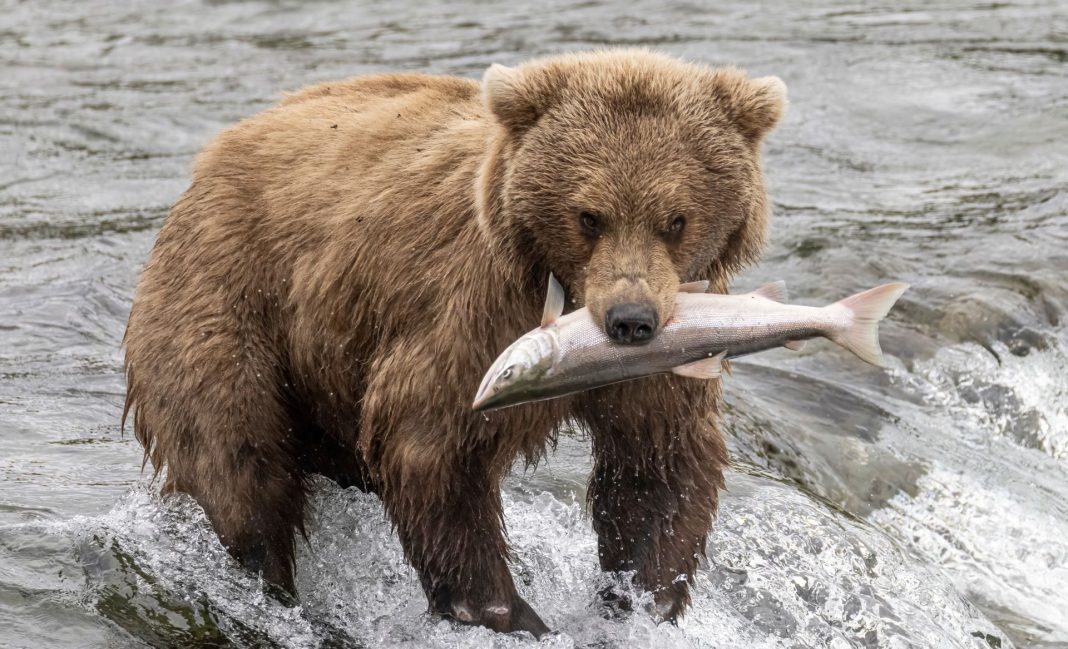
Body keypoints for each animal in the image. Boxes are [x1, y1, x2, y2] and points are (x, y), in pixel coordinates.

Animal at [122, 49, 786, 631]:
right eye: (588, 216)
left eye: (675, 219)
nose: (630, 320)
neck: (563, 289)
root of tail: (214, 154)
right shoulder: (473, 310)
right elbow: (430, 441)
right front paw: (507, 611)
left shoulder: (676, 342)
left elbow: (656, 461)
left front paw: (640, 598)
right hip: (229, 299)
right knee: (238, 456)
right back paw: (273, 586)